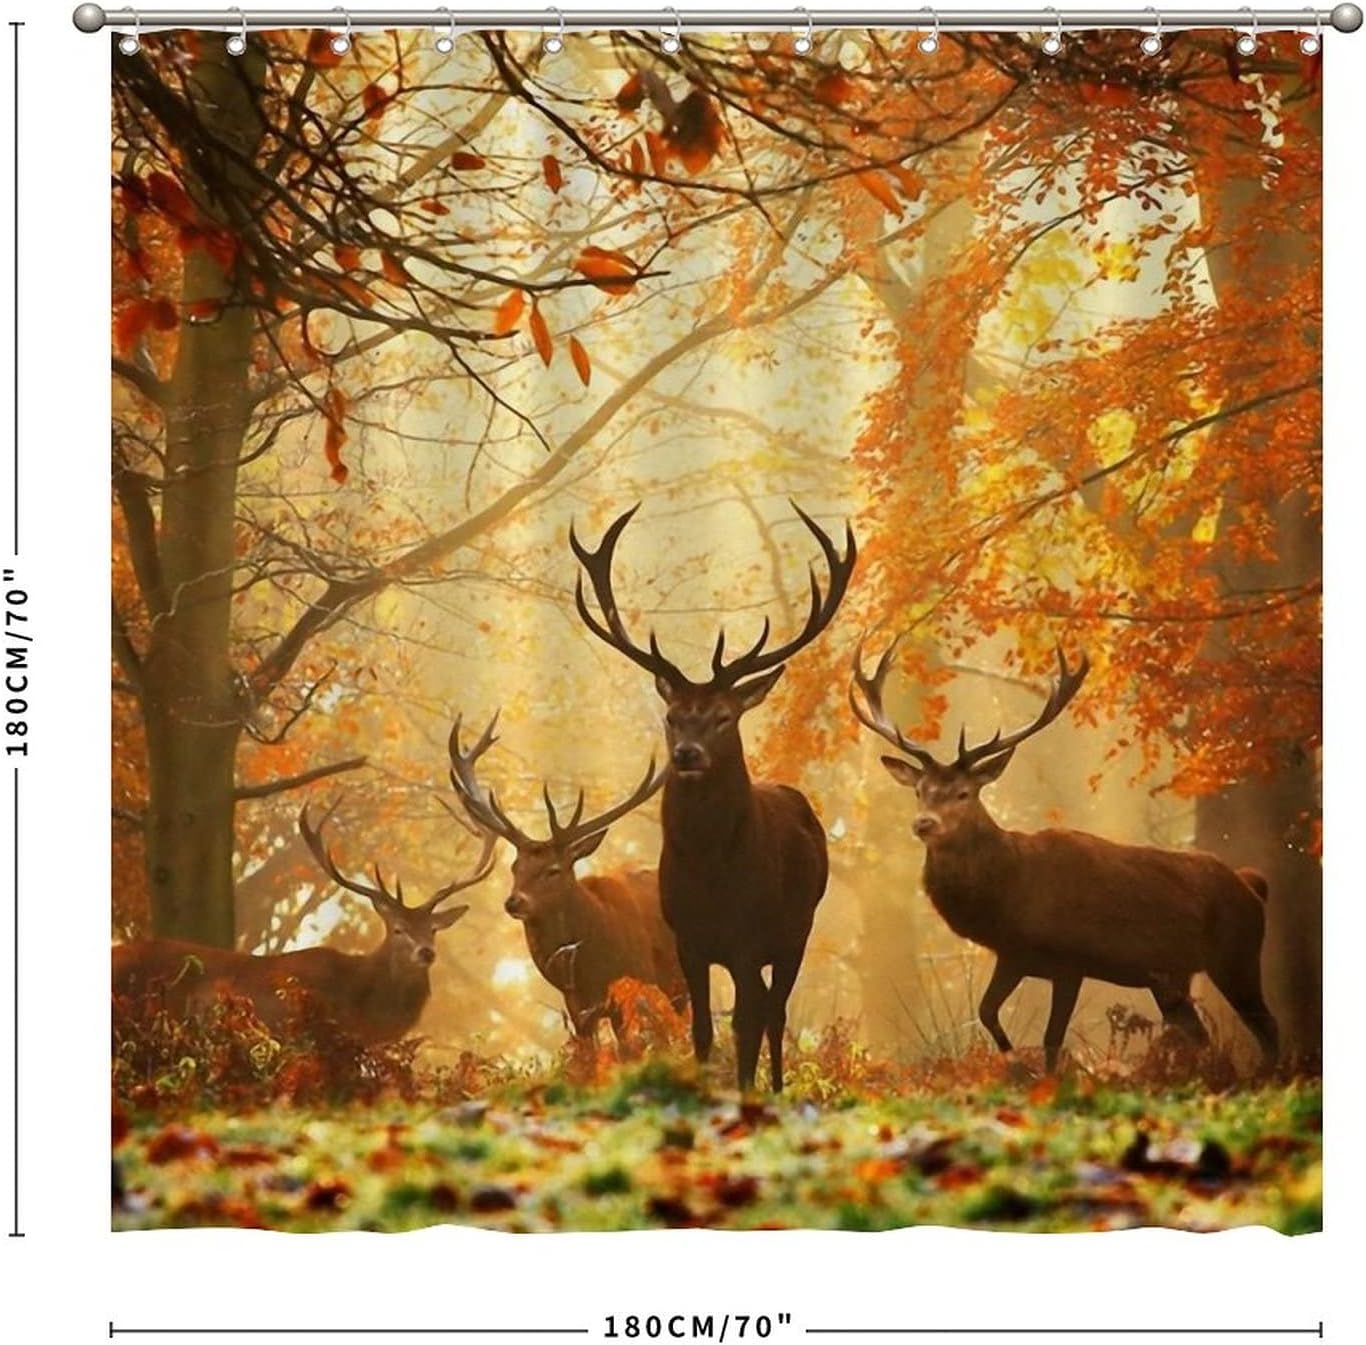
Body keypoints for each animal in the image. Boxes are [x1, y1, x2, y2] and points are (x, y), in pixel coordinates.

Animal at [571, 502, 857, 1091]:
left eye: (724, 717)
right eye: (672, 716)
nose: (687, 754)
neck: (711, 876)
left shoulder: (749, 938)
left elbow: (746, 1024)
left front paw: (746, 1091)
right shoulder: (689, 940)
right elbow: (702, 1029)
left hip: (798, 929)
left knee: (775, 1012)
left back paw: (776, 1087)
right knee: (766, 1008)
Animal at [850, 636, 1279, 1073]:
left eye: (963, 793)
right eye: (920, 791)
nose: (924, 823)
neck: (1009, 895)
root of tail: (1252, 886)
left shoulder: (1071, 961)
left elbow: (1052, 1039)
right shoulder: (1013, 955)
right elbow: (987, 1012)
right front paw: (1014, 1064)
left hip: (1237, 954)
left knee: (1268, 1026)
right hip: (1171, 976)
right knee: (1200, 1034)